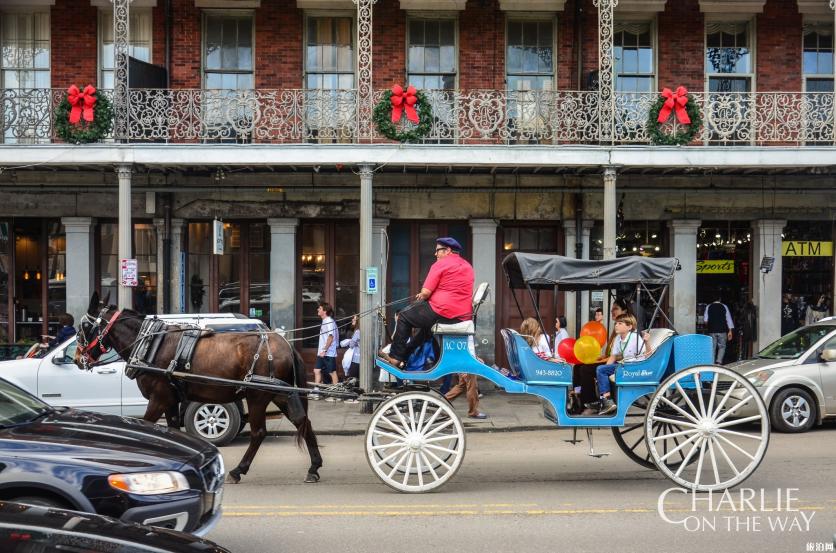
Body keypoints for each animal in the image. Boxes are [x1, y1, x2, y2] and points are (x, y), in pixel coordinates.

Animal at [73, 292, 322, 486]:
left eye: (83, 326)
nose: (76, 358)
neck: (148, 344)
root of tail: (285, 344)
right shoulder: (171, 399)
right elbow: (172, 431)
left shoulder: (158, 398)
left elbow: (148, 426)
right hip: (280, 393)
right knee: (303, 421)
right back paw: (314, 467)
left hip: (257, 395)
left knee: (259, 432)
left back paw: (238, 471)